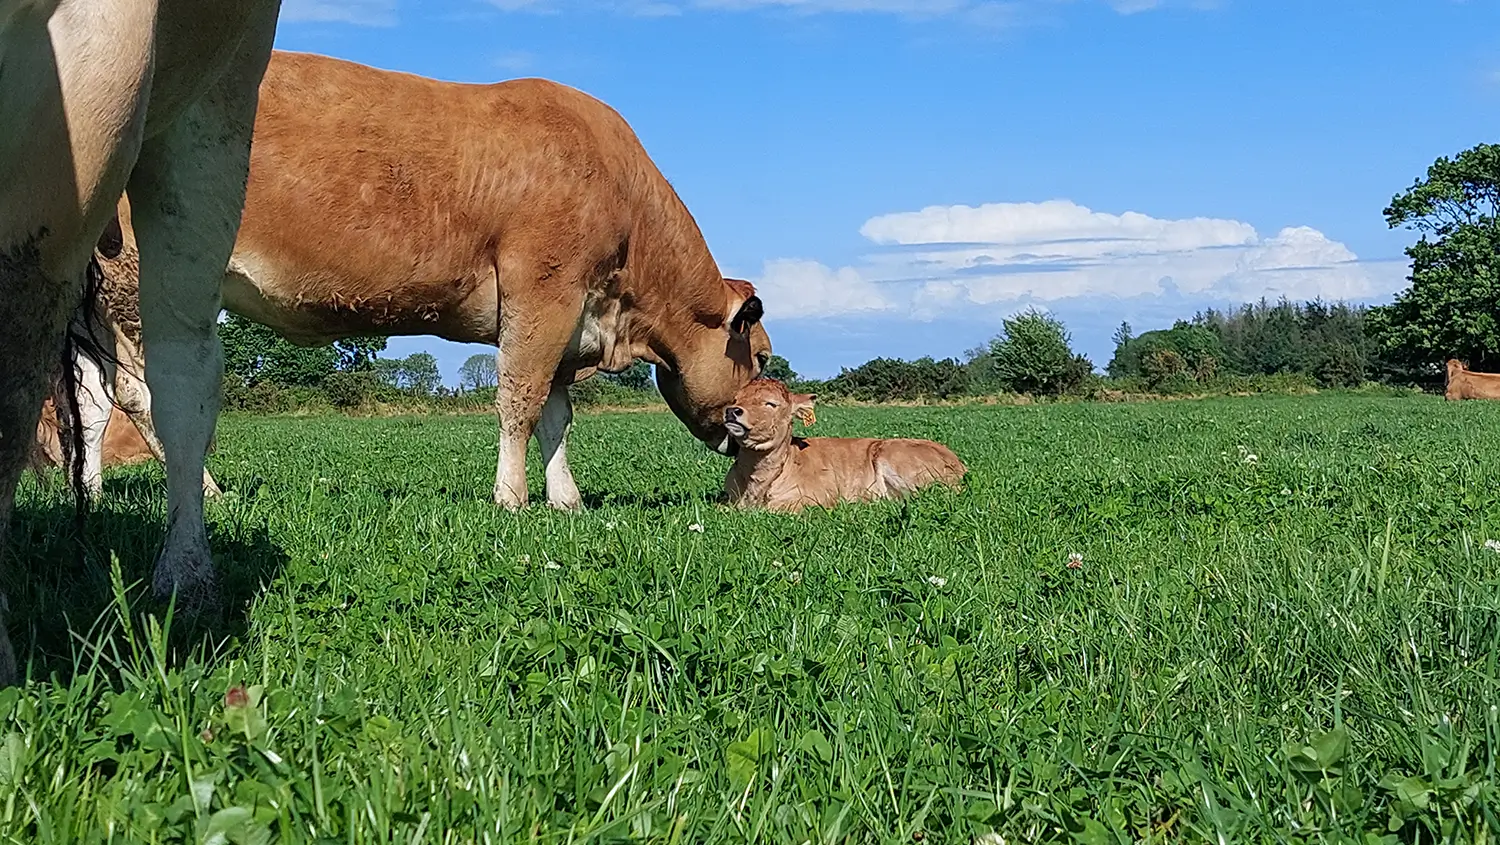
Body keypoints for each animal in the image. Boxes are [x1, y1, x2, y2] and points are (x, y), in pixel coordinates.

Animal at [67, 52, 774, 516]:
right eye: (763, 355)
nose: (742, 426)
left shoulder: (568, 315)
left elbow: (557, 415)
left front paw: (565, 500)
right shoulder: (543, 290)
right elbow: (520, 401)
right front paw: (511, 499)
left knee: (94, 400)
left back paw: (92, 493)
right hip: (140, 279)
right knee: (145, 394)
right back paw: (208, 490)